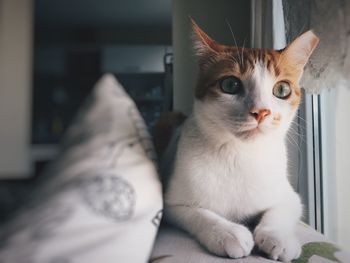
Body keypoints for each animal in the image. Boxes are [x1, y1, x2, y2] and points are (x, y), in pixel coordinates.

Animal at [163, 19, 318, 263]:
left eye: (281, 89)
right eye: (230, 85)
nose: (261, 111)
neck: (240, 155)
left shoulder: (290, 196)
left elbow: (280, 211)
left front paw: (278, 236)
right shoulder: (171, 205)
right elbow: (198, 213)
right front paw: (228, 233)